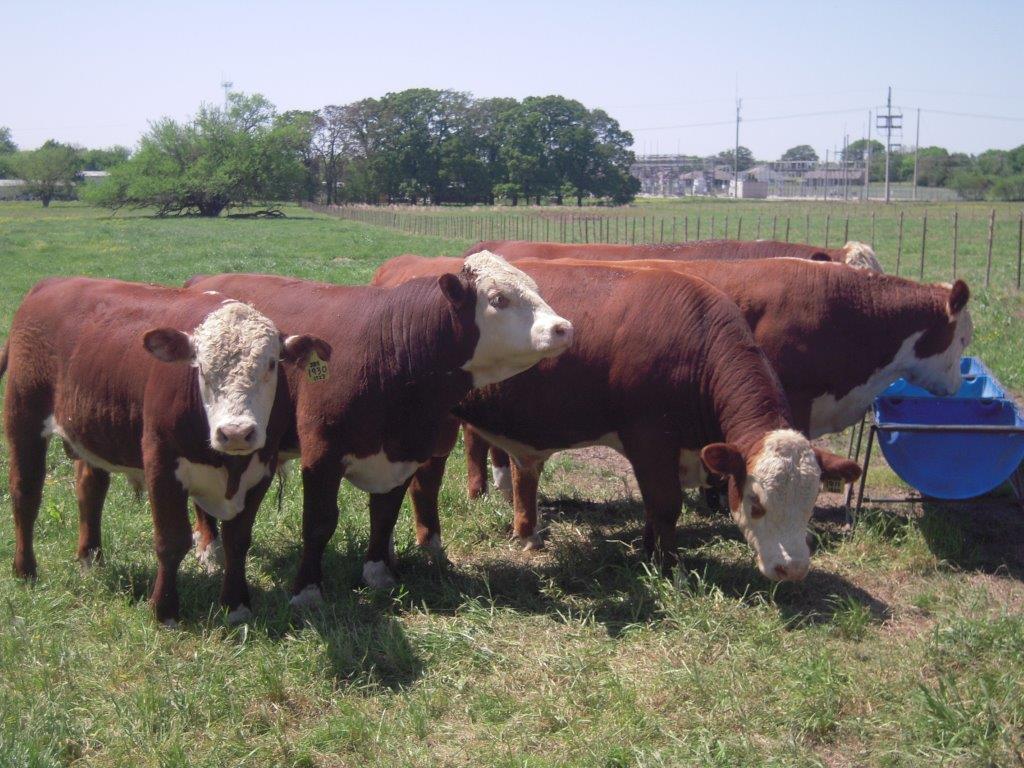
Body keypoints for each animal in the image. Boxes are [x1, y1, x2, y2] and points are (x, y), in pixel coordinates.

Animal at [2, 278, 330, 625]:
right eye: (202, 368)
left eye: (270, 364)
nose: (236, 432)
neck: (227, 465)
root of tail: (50, 283)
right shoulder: (161, 463)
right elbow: (171, 540)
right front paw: (164, 610)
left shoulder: (261, 468)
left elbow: (238, 539)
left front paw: (236, 605)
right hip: (23, 416)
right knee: (25, 494)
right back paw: (25, 570)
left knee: (90, 491)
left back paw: (90, 559)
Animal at [184, 251, 573, 600]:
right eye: (498, 299)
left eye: (535, 288)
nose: (563, 328)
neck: (390, 351)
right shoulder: (322, 455)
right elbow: (319, 523)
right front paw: (307, 590)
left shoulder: (404, 453)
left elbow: (385, 514)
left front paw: (377, 572)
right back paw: (209, 550)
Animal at [373, 255, 969, 551]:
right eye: (757, 504)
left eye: (806, 506)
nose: (955, 387)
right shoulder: (649, 439)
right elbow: (664, 505)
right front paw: (664, 563)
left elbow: (662, 506)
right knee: (429, 481)